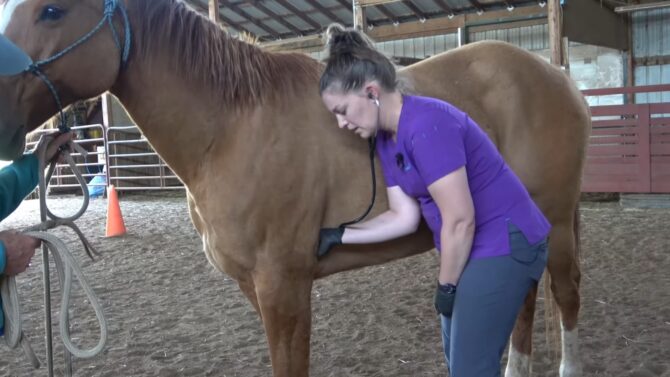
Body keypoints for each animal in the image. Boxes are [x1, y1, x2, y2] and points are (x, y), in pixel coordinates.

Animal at [0, 1, 592, 374]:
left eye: (51, 10)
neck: (232, 128)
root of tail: (554, 73)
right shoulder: (254, 286)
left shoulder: (285, 286)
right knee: (524, 299)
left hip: (555, 221)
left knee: (564, 295)